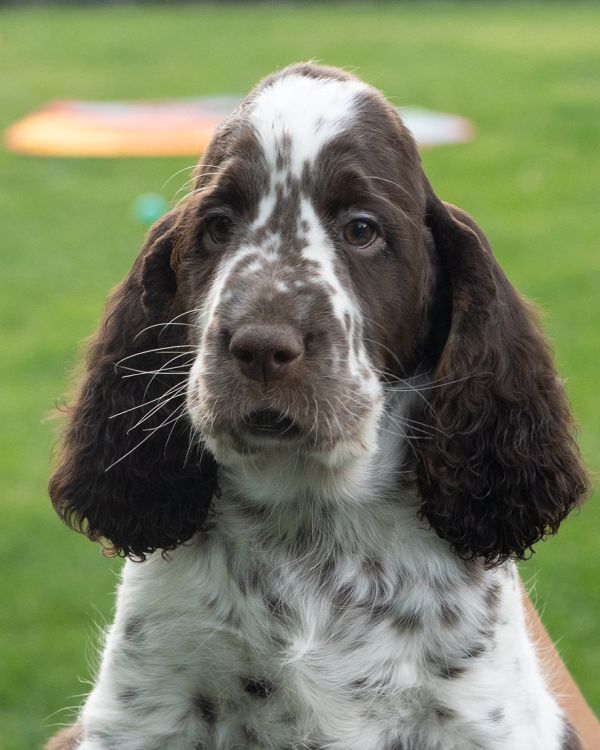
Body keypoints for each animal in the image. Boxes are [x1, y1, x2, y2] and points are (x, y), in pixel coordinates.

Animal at [45, 63, 584, 750]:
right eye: (216, 228)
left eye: (362, 229)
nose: (260, 347)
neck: (308, 518)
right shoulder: (145, 712)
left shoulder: (482, 716)